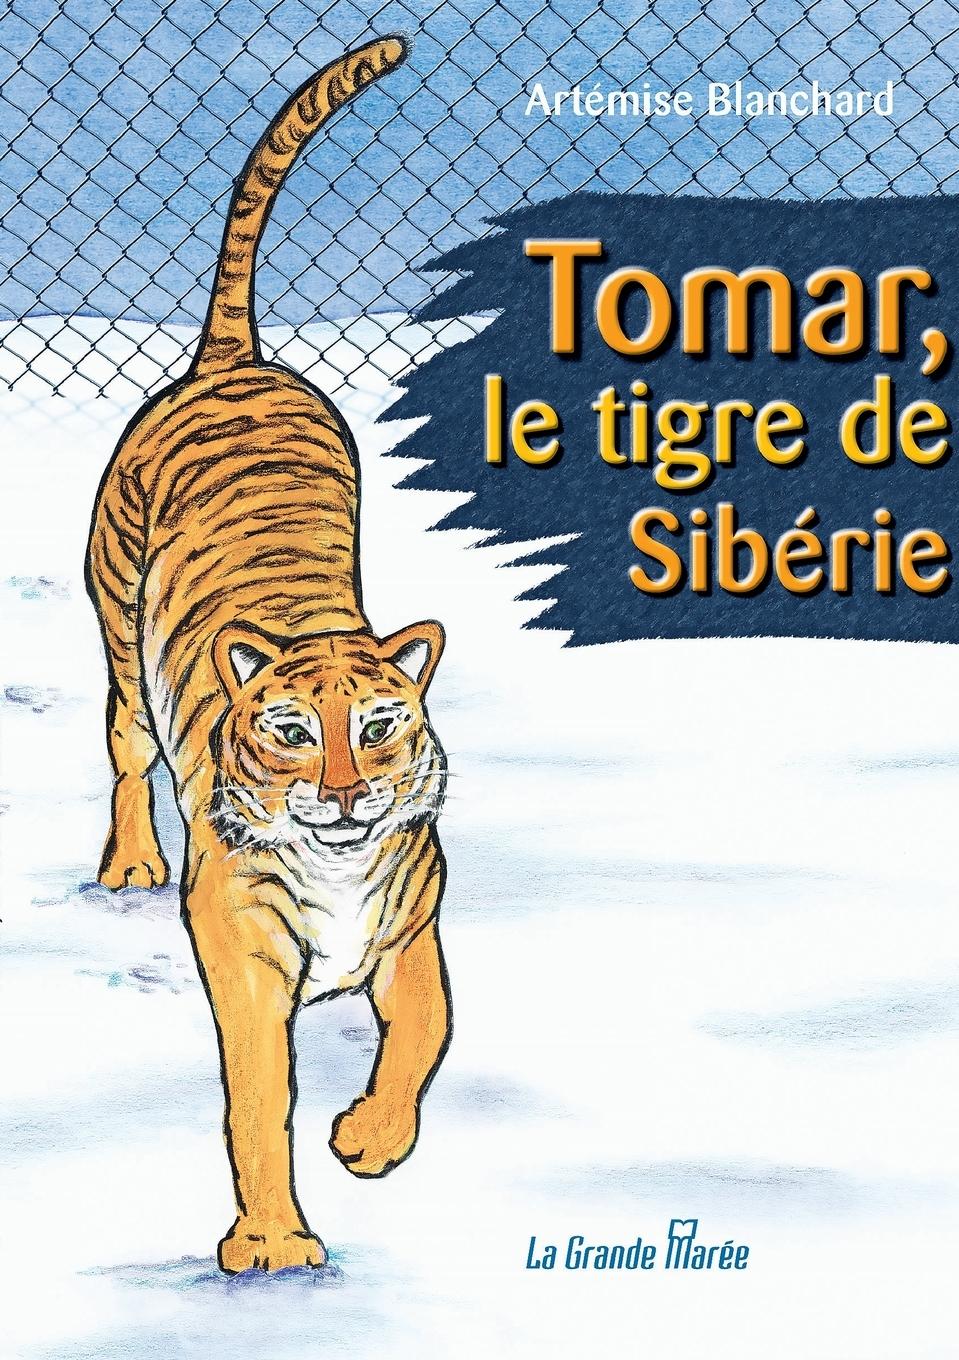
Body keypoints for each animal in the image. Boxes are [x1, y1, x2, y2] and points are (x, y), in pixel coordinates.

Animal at [85, 36, 452, 1274]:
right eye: (291, 732)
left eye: (379, 725)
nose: (342, 797)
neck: (338, 866)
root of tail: (234, 358)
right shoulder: (243, 954)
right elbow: (257, 1096)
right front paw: (274, 1245)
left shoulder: (411, 926)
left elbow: (425, 1032)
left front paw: (373, 1141)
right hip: (118, 639)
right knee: (123, 753)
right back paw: (127, 867)